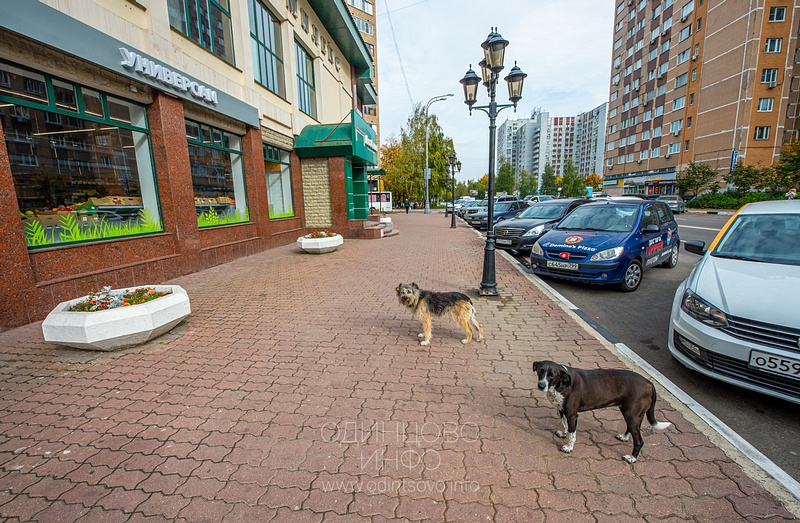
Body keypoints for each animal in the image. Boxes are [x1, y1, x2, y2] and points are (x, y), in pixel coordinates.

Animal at [536, 360, 672, 462]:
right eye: (540, 371)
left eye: (552, 375)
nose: (541, 385)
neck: (561, 384)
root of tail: (650, 384)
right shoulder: (562, 410)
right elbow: (565, 426)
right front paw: (564, 434)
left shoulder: (572, 415)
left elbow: (572, 433)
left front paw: (569, 447)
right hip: (631, 413)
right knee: (632, 429)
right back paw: (624, 437)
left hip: (632, 415)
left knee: (639, 441)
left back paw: (631, 458)